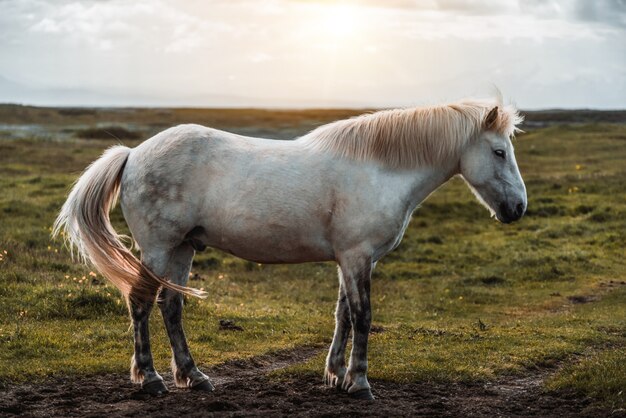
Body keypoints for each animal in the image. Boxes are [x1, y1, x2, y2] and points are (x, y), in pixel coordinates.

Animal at [53, 96, 524, 400]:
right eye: (499, 152)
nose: (517, 208)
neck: (378, 169)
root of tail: (133, 153)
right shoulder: (357, 257)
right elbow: (363, 316)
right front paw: (360, 383)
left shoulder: (352, 259)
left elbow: (343, 314)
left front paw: (336, 376)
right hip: (158, 247)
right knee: (141, 302)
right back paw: (150, 379)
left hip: (183, 248)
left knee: (171, 306)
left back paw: (194, 376)